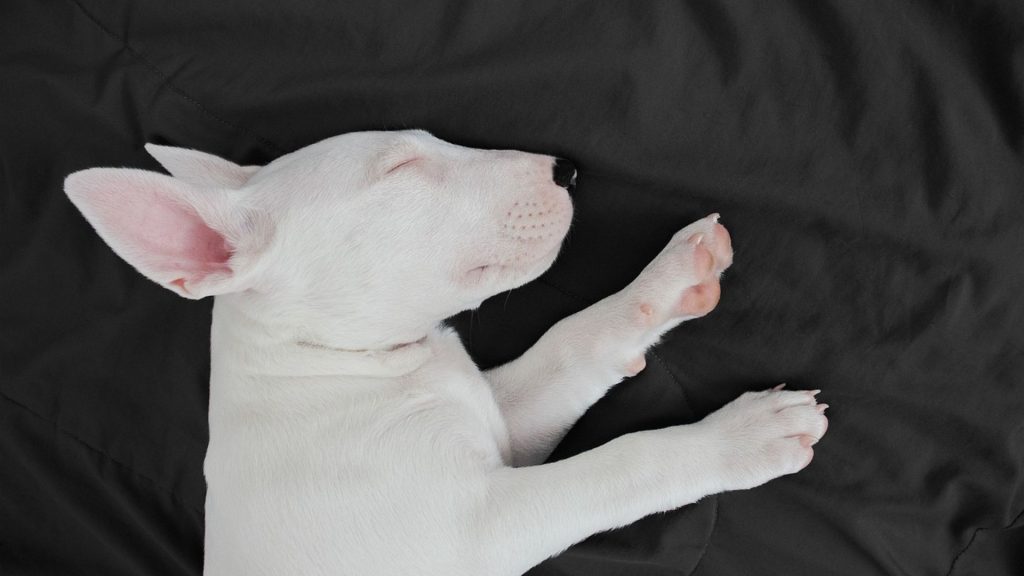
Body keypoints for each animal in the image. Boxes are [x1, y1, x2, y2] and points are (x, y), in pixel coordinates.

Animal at [64, 130, 827, 573]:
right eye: (402, 166)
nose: (566, 169)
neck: (333, 362)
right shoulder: (477, 527)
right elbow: (621, 465)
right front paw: (745, 436)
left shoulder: (501, 428)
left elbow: (571, 343)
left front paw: (673, 277)